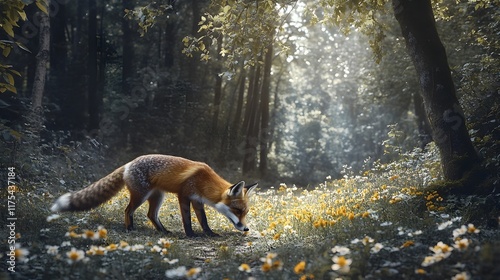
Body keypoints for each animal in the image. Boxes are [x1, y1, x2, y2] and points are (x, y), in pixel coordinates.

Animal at [50, 154, 258, 237]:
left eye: (246, 212)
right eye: (238, 211)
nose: (246, 229)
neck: (204, 181)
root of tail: (129, 163)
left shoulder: (197, 201)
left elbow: (203, 220)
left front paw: (209, 233)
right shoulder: (184, 196)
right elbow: (187, 219)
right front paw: (191, 235)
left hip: (158, 197)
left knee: (151, 215)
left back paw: (163, 231)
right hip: (141, 196)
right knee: (127, 210)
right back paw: (130, 228)